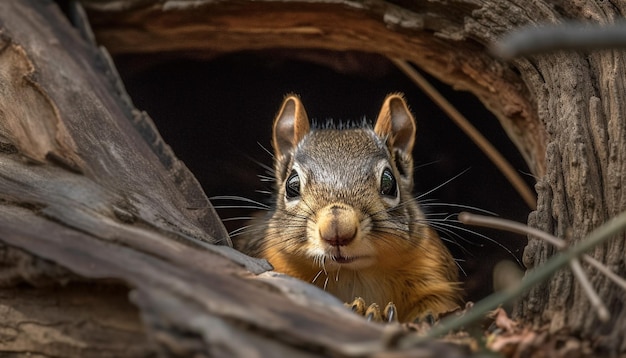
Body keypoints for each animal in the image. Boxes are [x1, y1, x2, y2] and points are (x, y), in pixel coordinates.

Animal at [236, 93, 460, 324]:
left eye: (389, 182)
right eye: (292, 185)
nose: (337, 230)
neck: (351, 272)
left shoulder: (432, 267)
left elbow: (441, 304)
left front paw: (420, 317)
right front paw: (362, 309)